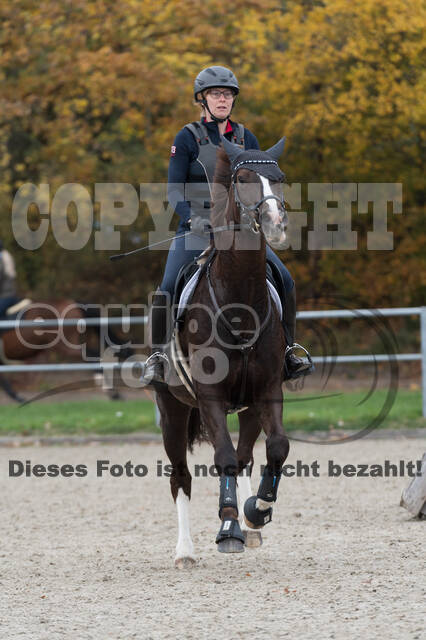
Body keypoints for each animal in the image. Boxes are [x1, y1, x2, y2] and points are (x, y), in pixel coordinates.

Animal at [155, 135, 292, 564]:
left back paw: (250, 526)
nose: (275, 224)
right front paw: (228, 526)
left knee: (247, 455)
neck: (239, 302)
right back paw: (185, 550)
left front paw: (257, 510)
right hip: (172, 409)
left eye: (279, 178)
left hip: (247, 407)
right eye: (243, 179)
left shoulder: (268, 390)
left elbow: (276, 447)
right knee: (181, 476)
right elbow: (224, 459)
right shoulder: (210, 395)